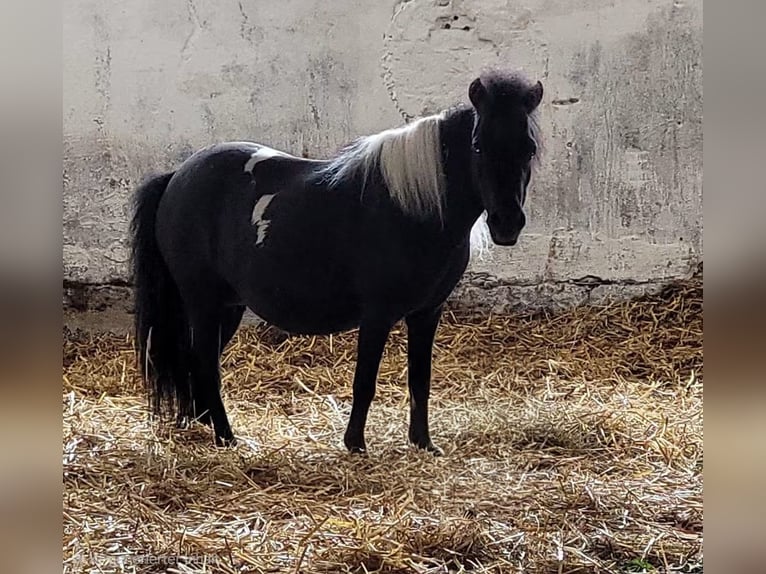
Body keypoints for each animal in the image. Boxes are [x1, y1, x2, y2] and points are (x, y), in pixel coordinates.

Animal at [130, 69, 543, 454]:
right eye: (477, 146)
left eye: (529, 148)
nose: (507, 223)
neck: (413, 209)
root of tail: (177, 177)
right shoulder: (377, 315)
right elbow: (365, 382)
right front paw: (355, 444)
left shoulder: (427, 314)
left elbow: (419, 379)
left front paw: (423, 443)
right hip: (203, 303)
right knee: (204, 365)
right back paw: (226, 436)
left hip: (227, 307)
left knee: (197, 363)